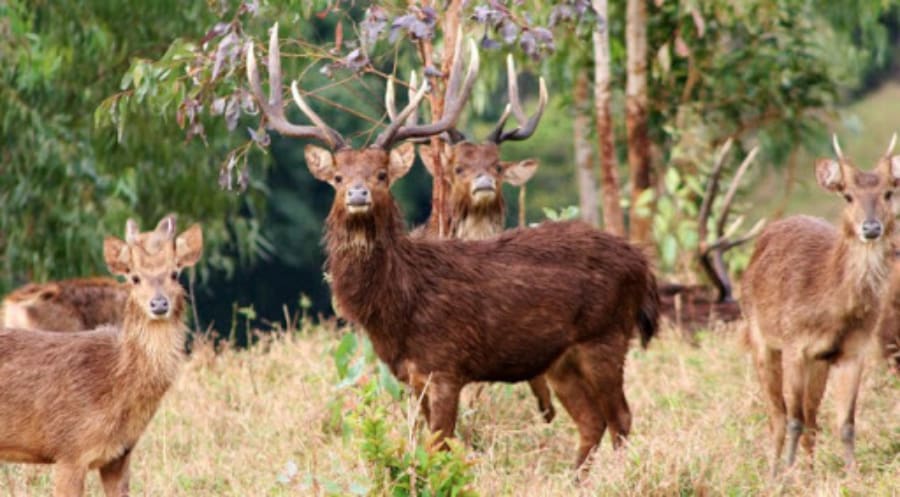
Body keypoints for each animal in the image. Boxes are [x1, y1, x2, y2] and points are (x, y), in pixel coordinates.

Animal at [246, 24, 660, 472]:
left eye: (381, 174)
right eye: (338, 177)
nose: (358, 193)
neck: (398, 306)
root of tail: (642, 262)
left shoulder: (446, 366)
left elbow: (439, 447)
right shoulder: (411, 375)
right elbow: (422, 443)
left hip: (606, 334)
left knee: (621, 417)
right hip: (561, 357)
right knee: (591, 421)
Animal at [740, 133, 896, 472]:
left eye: (889, 192)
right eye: (848, 195)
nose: (871, 228)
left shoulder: (853, 351)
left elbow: (846, 423)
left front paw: (853, 475)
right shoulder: (794, 344)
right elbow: (793, 419)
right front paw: (786, 474)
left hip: (819, 362)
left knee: (812, 419)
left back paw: (809, 472)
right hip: (759, 337)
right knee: (778, 416)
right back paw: (774, 470)